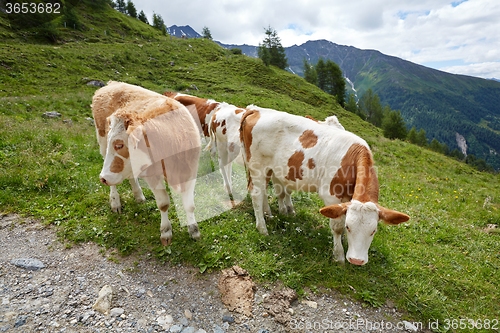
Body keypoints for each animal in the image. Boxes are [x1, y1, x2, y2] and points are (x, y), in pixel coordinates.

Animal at [92, 81, 201, 245]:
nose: (102, 178)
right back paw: (115, 202)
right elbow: (163, 203)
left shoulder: (190, 170)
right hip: (102, 143)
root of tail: (112, 83)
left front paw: (194, 230)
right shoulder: (152, 175)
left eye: (119, 145)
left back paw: (138, 195)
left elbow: (190, 205)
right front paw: (166, 232)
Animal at [239, 105, 410, 266]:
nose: (356, 260)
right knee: (256, 193)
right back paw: (262, 228)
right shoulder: (331, 195)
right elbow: (336, 227)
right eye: (349, 227)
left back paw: (268, 214)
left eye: (373, 231)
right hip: (257, 165)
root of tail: (257, 110)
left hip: (269, 168)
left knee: (263, 191)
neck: (352, 158)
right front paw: (339, 255)